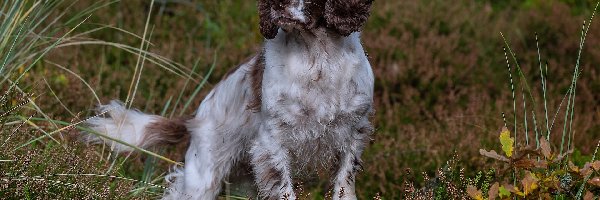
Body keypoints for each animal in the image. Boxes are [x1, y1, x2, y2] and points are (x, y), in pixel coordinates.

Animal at [86, 0, 372, 198]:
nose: (278, 4)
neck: (318, 58)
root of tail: (194, 118)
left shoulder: (353, 135)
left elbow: (344, 185)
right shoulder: (272, 143)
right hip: (204, 176)